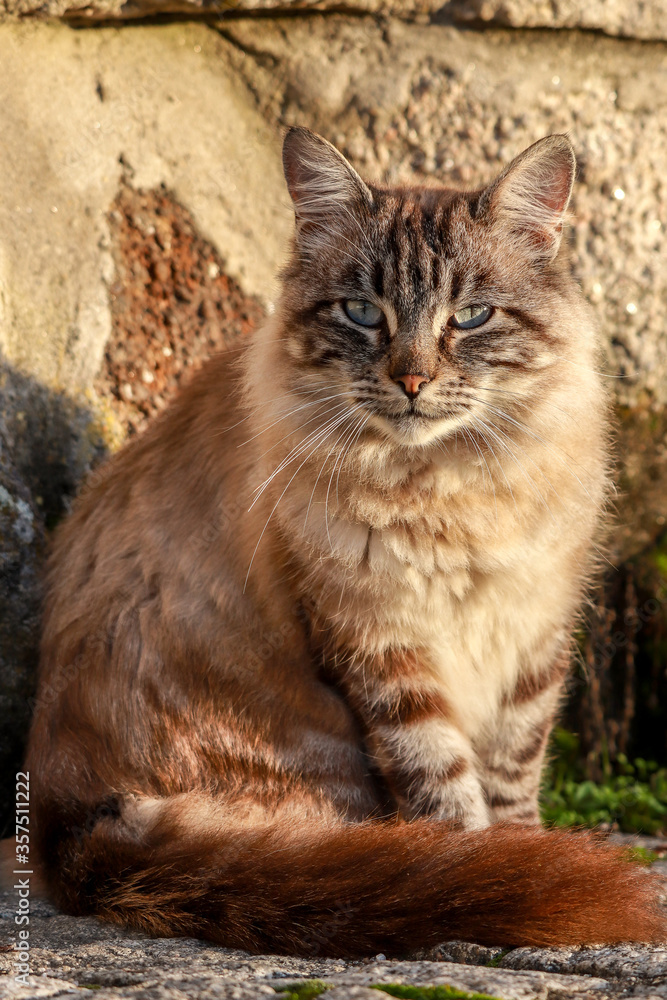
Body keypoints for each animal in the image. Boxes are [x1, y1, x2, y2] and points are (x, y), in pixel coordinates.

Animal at [23, 125, 664, 952]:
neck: (446, 488)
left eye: (471, 316)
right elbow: (444, 789)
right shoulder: (380, 646)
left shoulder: (529, 637)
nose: (411, 380)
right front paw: (489, 865)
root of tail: (69, 833)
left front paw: (521, 848)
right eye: (362, 312)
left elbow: (511, 777)